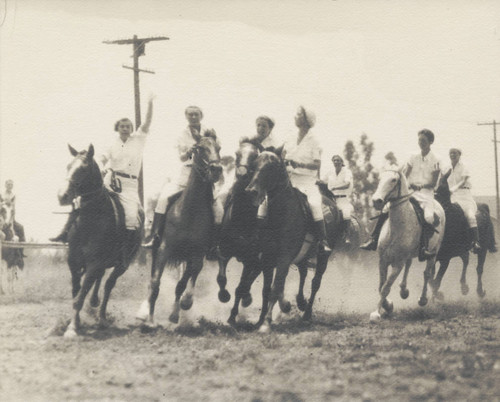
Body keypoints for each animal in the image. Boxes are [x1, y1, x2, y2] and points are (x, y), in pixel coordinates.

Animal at [58, 143, 141, 338]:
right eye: (68, 166)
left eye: (83, 169)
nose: (62, 196)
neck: (90, 220)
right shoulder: (74, 262)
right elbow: (77, 292)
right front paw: (76, 322)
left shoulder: (94, 263)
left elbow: (81, 295)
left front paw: (72, 327)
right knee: (100, 279)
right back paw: (94, 302)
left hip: (122, 265)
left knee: (109, 285)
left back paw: (102, 317)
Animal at [138, 135, 222, 326]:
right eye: (200, 148)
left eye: (218, 148)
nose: (217, 169)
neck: (189, 212)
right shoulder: (163, 250)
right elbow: (155, 284)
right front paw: (149, 320)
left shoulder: (196, 255)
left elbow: (183, 285)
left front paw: (181, 307)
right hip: (156, 251)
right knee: (152, 282)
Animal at [246, 150, 344, 330]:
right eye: (254, 165)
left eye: (271, 167)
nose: (251, 191)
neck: (281, 213)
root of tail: (332, 204)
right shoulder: (268, 258)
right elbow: (267, 289)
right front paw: (261, 320)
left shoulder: (284, 257)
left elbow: (275, 287)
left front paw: (267, 322)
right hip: (302, 256)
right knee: (304, 273)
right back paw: (300, 302)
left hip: (323, 256)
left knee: (315, 282)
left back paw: (306, 314)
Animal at [368, 168, 446, 322]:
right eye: (380, 178)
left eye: (393, 180)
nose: (376, 201)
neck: (396, 228)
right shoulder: (383, 260)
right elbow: (381, 286)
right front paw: (388, 306)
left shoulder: (398, 263)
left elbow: (385, 287)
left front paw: (377, 313)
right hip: (409, 255)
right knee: (409, 265)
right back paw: (404, 290)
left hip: (434, 252)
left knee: (427, 274)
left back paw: (422, 299)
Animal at [432, 171, 498, 300]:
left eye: (443, 186)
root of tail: (483, 207)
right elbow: (431, 280)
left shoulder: (446, 259)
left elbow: (436, 281)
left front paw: (437, 296)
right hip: (463, 249)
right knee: (466, 259)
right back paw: (464, 287)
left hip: (483, 249)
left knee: (479, 268)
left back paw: (479, 291)